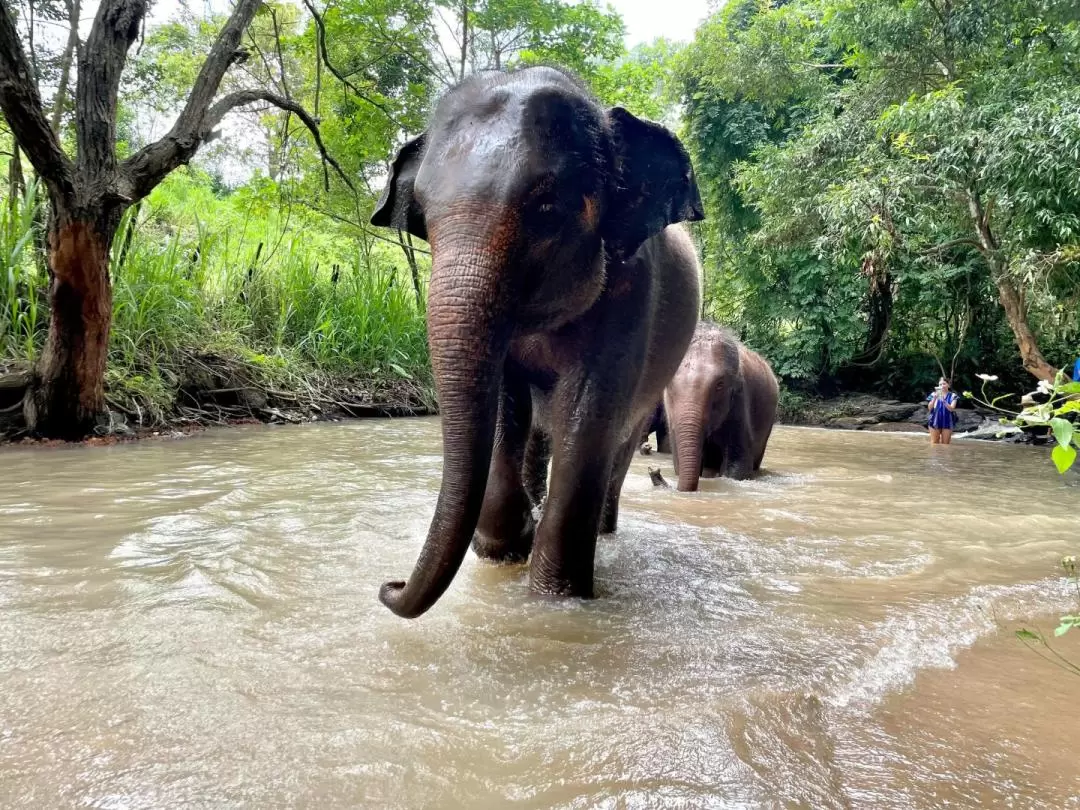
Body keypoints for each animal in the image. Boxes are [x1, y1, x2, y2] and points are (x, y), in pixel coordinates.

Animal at [371, 65, 704, 622]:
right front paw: (508, 544)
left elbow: (587, 411)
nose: (389, 585)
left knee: (619, 445)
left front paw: (555, 594)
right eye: (423, 214)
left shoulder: (633, 287)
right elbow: (506, 402)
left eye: (549, 207)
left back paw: (602, 531)